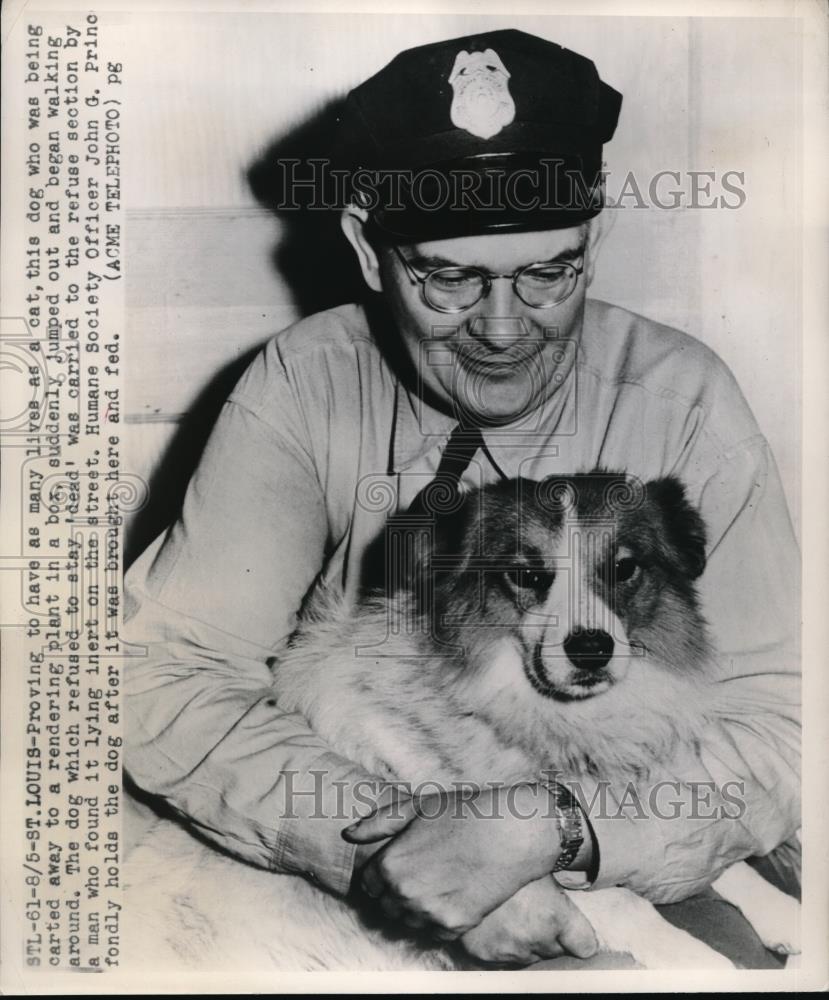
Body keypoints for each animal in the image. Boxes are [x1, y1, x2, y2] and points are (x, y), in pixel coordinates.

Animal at [121, 472, 796, 972]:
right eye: (527, 574)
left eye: (624, 567)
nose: (591, 650)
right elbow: (629, 903)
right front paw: (704, 963)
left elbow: (715, 855)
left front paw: (782, 913)